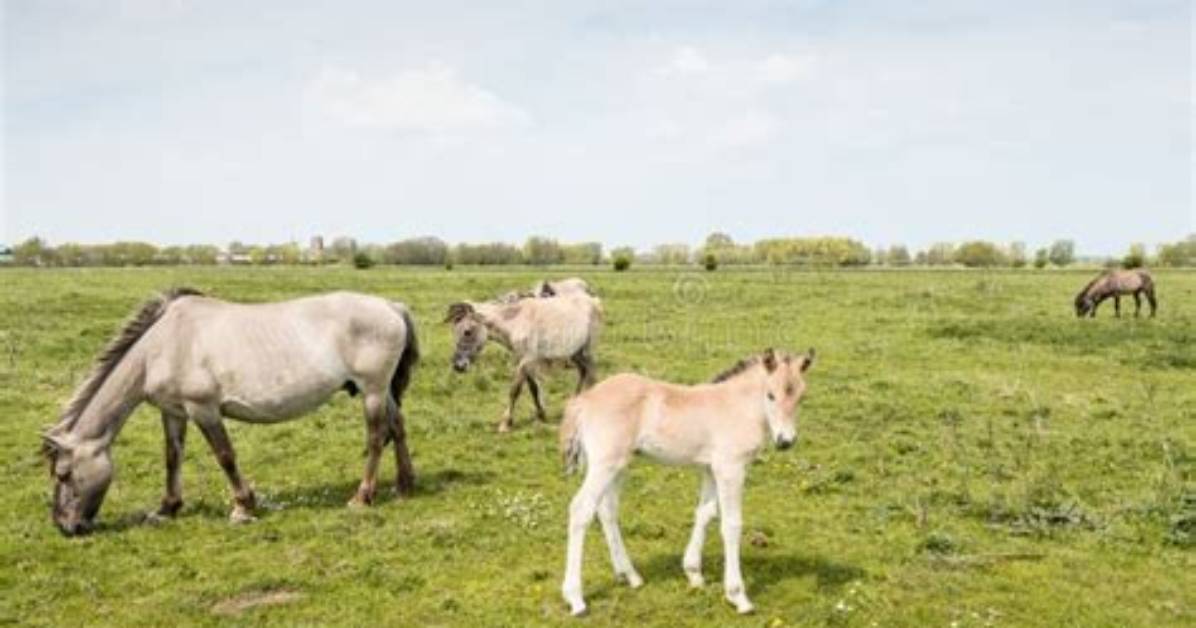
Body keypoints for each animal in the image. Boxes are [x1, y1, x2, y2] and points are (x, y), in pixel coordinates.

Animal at [41, 289, 419, 536]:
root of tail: (392, 306)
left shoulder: (203, 409)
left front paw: (242, 507)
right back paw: (404, 486)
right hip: (382, 390)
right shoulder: (174, 412)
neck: (163, 345)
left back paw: (362, 496)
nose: (65, 527)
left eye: (64, 474)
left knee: (376, 437)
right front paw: (167, 508)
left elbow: (225, 456)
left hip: (372, 390)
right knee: (398, 427)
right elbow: (172, 457)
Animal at [445, 292, 602, 432]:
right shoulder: (523, 359)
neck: (516, 322)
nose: (458, 366)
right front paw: (541, 414)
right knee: (584, 371)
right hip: (575, 352)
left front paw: (505, 423)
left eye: (467, 331)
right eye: (455, 331)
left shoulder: (527, 359)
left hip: (585, 350)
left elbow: (515, 390)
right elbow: (533, 387)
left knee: (591, 374)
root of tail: (593, 300)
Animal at [557, 348, 816, 616]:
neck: (738, 407)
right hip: (604, 464)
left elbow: (705, 513)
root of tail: (584, 400)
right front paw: (738, 596)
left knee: (607, 510)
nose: (785, 441)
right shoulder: (731, 468)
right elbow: (731, 524)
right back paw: (575, 598)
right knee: (581, 509)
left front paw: (693, 574)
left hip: (617, 466)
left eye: (801, 396)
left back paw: (629, 575)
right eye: (770, 395)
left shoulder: (710, 469)